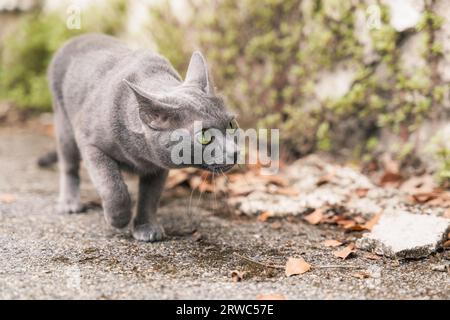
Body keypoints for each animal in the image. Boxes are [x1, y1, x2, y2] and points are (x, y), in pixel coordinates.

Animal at [47, 33, 237, 242]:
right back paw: (69, 203)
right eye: (204, 136)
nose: (235, 152)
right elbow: (112, 187)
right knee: (69, 166)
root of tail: (79, 37)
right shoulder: (91, 144)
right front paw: (118, 219)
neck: (138, 153)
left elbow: (150, 197)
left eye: (231, 124)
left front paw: (147, 228)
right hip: (64, 123)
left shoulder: (158, 165)